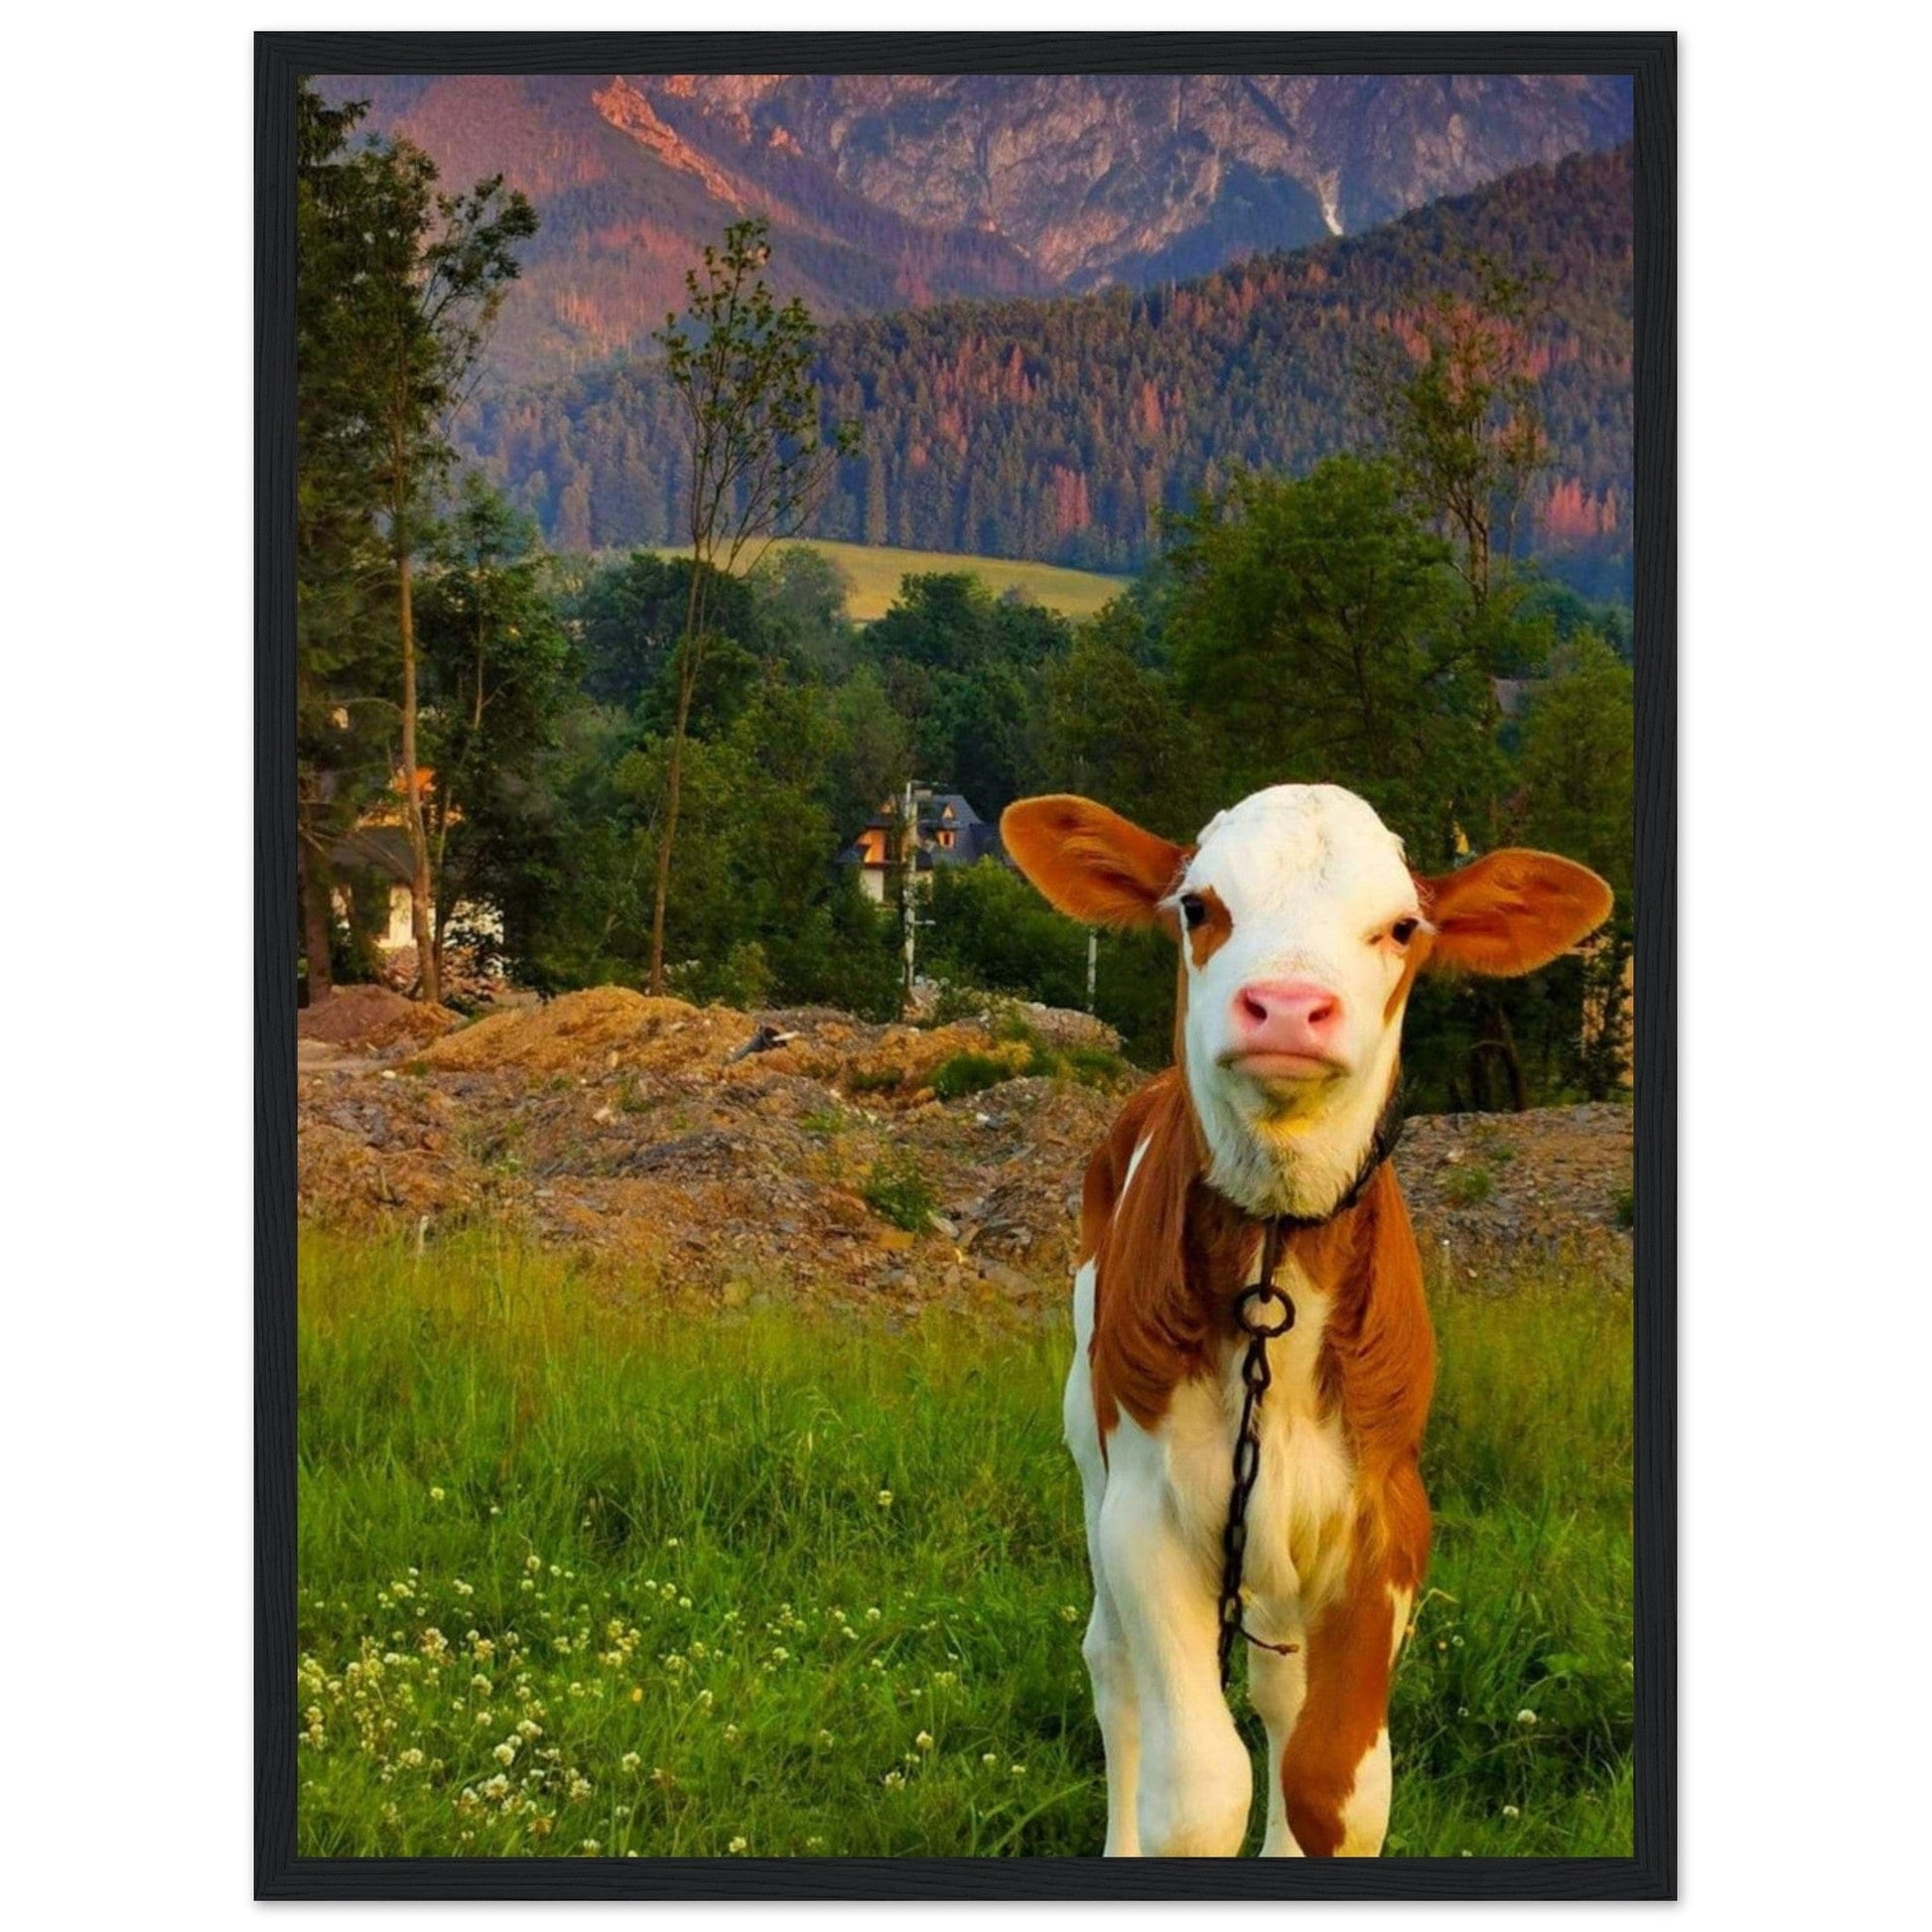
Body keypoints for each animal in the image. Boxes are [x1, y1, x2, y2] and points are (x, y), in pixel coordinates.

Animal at [999, 784, 1613, 1859]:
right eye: (1197, 906)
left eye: (1400, 927)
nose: (1286, 1005)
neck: (1275, 1255)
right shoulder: (1146, 1511)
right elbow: (1199, 1793)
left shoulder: (1385, 1516)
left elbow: (1332, 1784)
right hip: (1089, 1433)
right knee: (1111, 1662)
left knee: (1279, 1697)